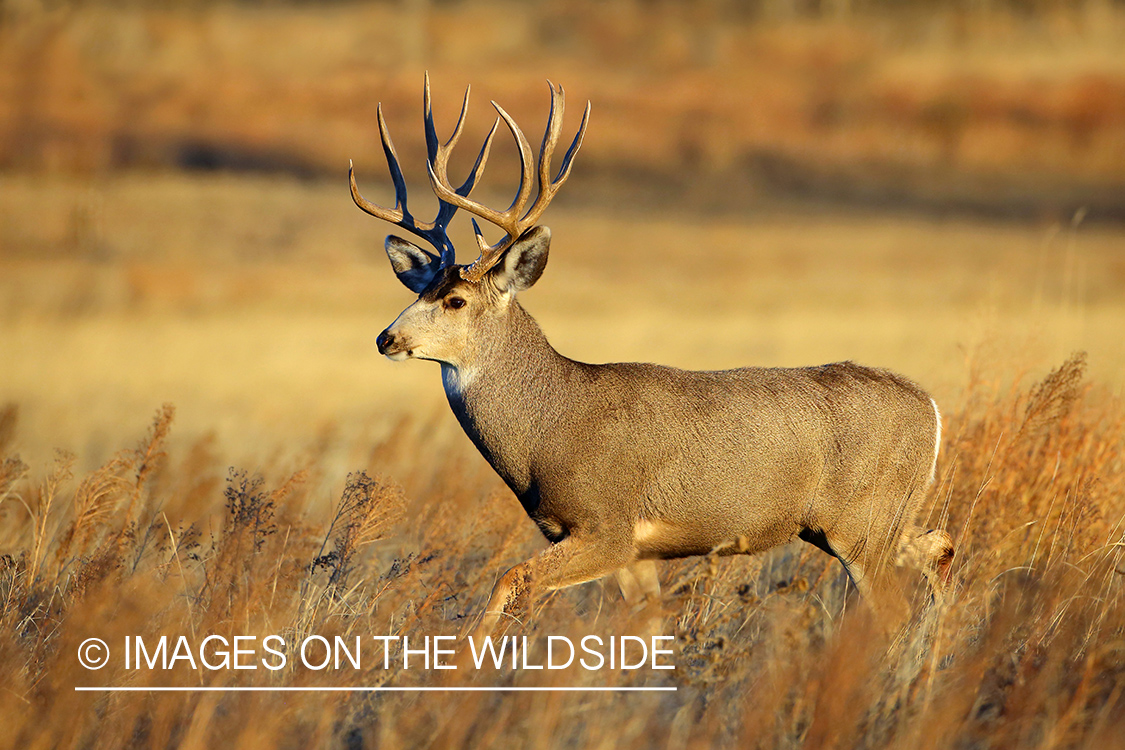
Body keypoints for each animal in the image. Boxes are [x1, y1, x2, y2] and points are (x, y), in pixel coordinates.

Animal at [350, 76, 954, 638]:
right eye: (418, 288)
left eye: (454, 299)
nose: (385, 338)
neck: (550, 430)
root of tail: (931, 408)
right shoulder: (634, 555)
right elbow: (646, 629)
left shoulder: (608, 527)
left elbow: (510, 578)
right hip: (879, 521)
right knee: (942, 547)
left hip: (862, 521)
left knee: (896, 611)